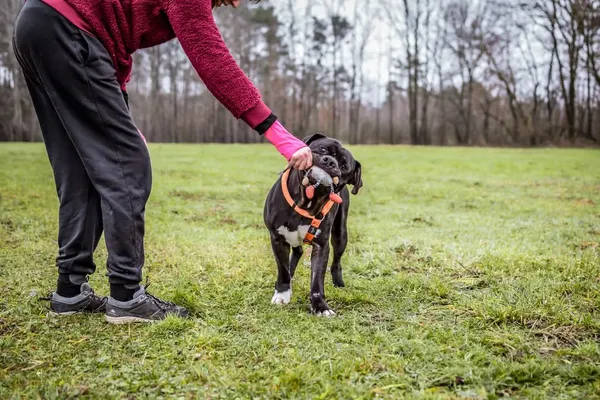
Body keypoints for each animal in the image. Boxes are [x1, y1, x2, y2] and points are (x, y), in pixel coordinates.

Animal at [264, 134, 364, 316]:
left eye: (344, 165)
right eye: (323, 149)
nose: (330, 161)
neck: (307, 201)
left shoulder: (321, 246)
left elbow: (317, 280)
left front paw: (320, 307)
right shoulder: (277, 239)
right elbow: (282, 270)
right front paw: (282, 293)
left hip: (340, 233)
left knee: (336, 261)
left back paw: (339, 282)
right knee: (296, 252)